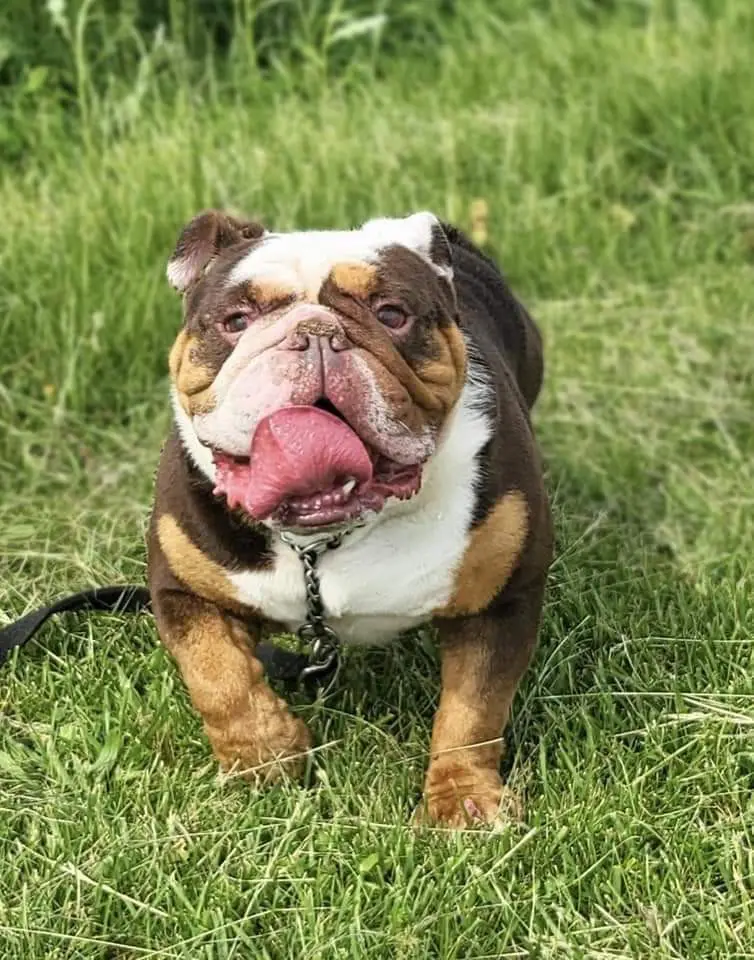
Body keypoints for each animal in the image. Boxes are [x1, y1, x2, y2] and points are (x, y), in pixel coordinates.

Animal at [147, 210, 548, 824]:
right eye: (237, 320)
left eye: (392, 314)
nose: (316, 332)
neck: (323, 539)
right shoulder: (182, 588)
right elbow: (217, 675)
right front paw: (267, 755)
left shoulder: (501, 599)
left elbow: (474, 709)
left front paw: (464, 801)